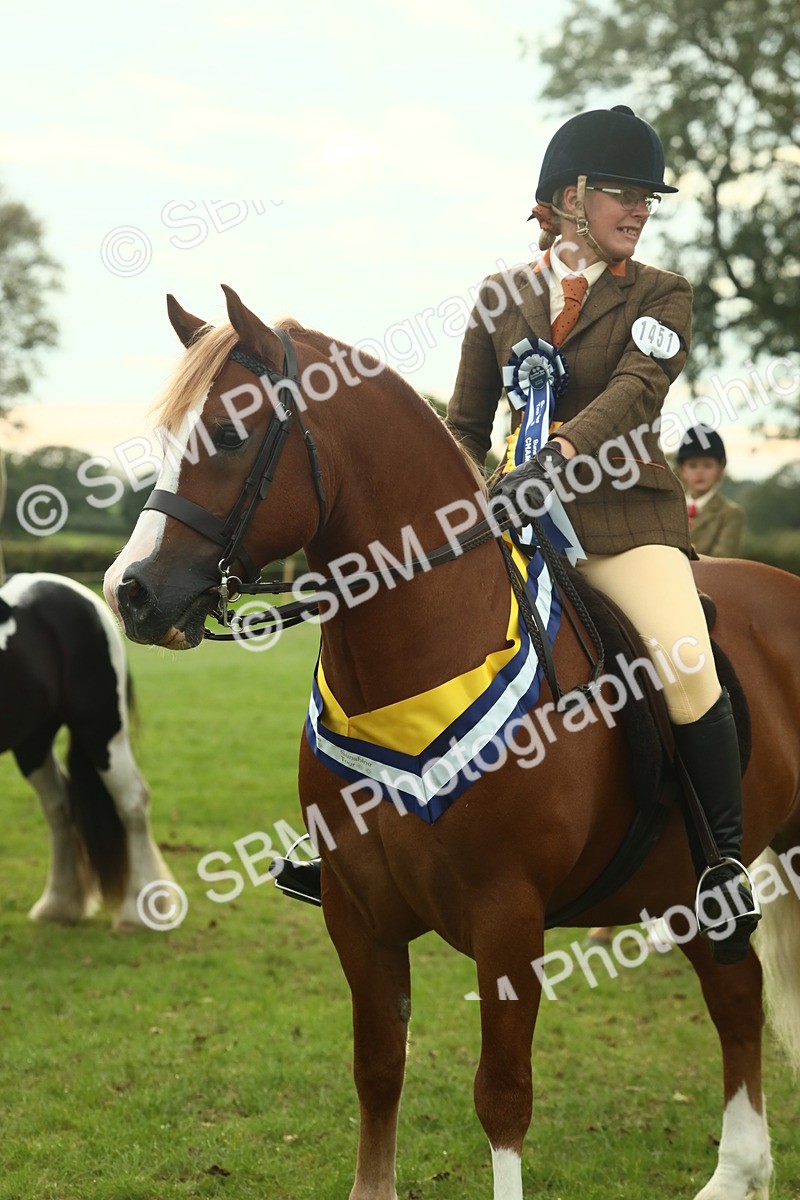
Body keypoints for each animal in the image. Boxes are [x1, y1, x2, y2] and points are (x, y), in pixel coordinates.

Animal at [1, 572, 173, 929]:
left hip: (101, 730)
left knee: (132, 802)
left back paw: (138, 911)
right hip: (32, 742)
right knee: (59, 808)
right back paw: (58, 904)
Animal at [103, 286, 800, 1200]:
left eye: (226, 434)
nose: (131, 592)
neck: (418, 661)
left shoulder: (508, 917)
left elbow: (501, 1096)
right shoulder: (359, 916)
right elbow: (377, 1070)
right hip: (683, 883)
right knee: (736, 990)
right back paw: (738, 1174)